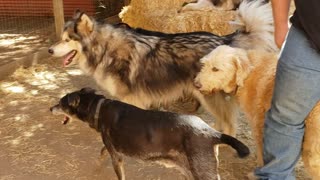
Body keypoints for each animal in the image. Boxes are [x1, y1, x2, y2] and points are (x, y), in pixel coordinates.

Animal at [47, 0, 278, 135]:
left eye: (67, 40)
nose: (49, 50)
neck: (105, 49)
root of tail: (225, 40)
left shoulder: (132, 100)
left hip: (209, 96)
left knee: (229, 125)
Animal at [50, 87, 250, 180]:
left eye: (61, 103)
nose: (50, 108)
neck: (98, 108)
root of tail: (212, 132)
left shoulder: (116, 157)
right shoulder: (111, 148)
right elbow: (101, 152)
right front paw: (97, 166)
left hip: (202, 171)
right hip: (190, 169)